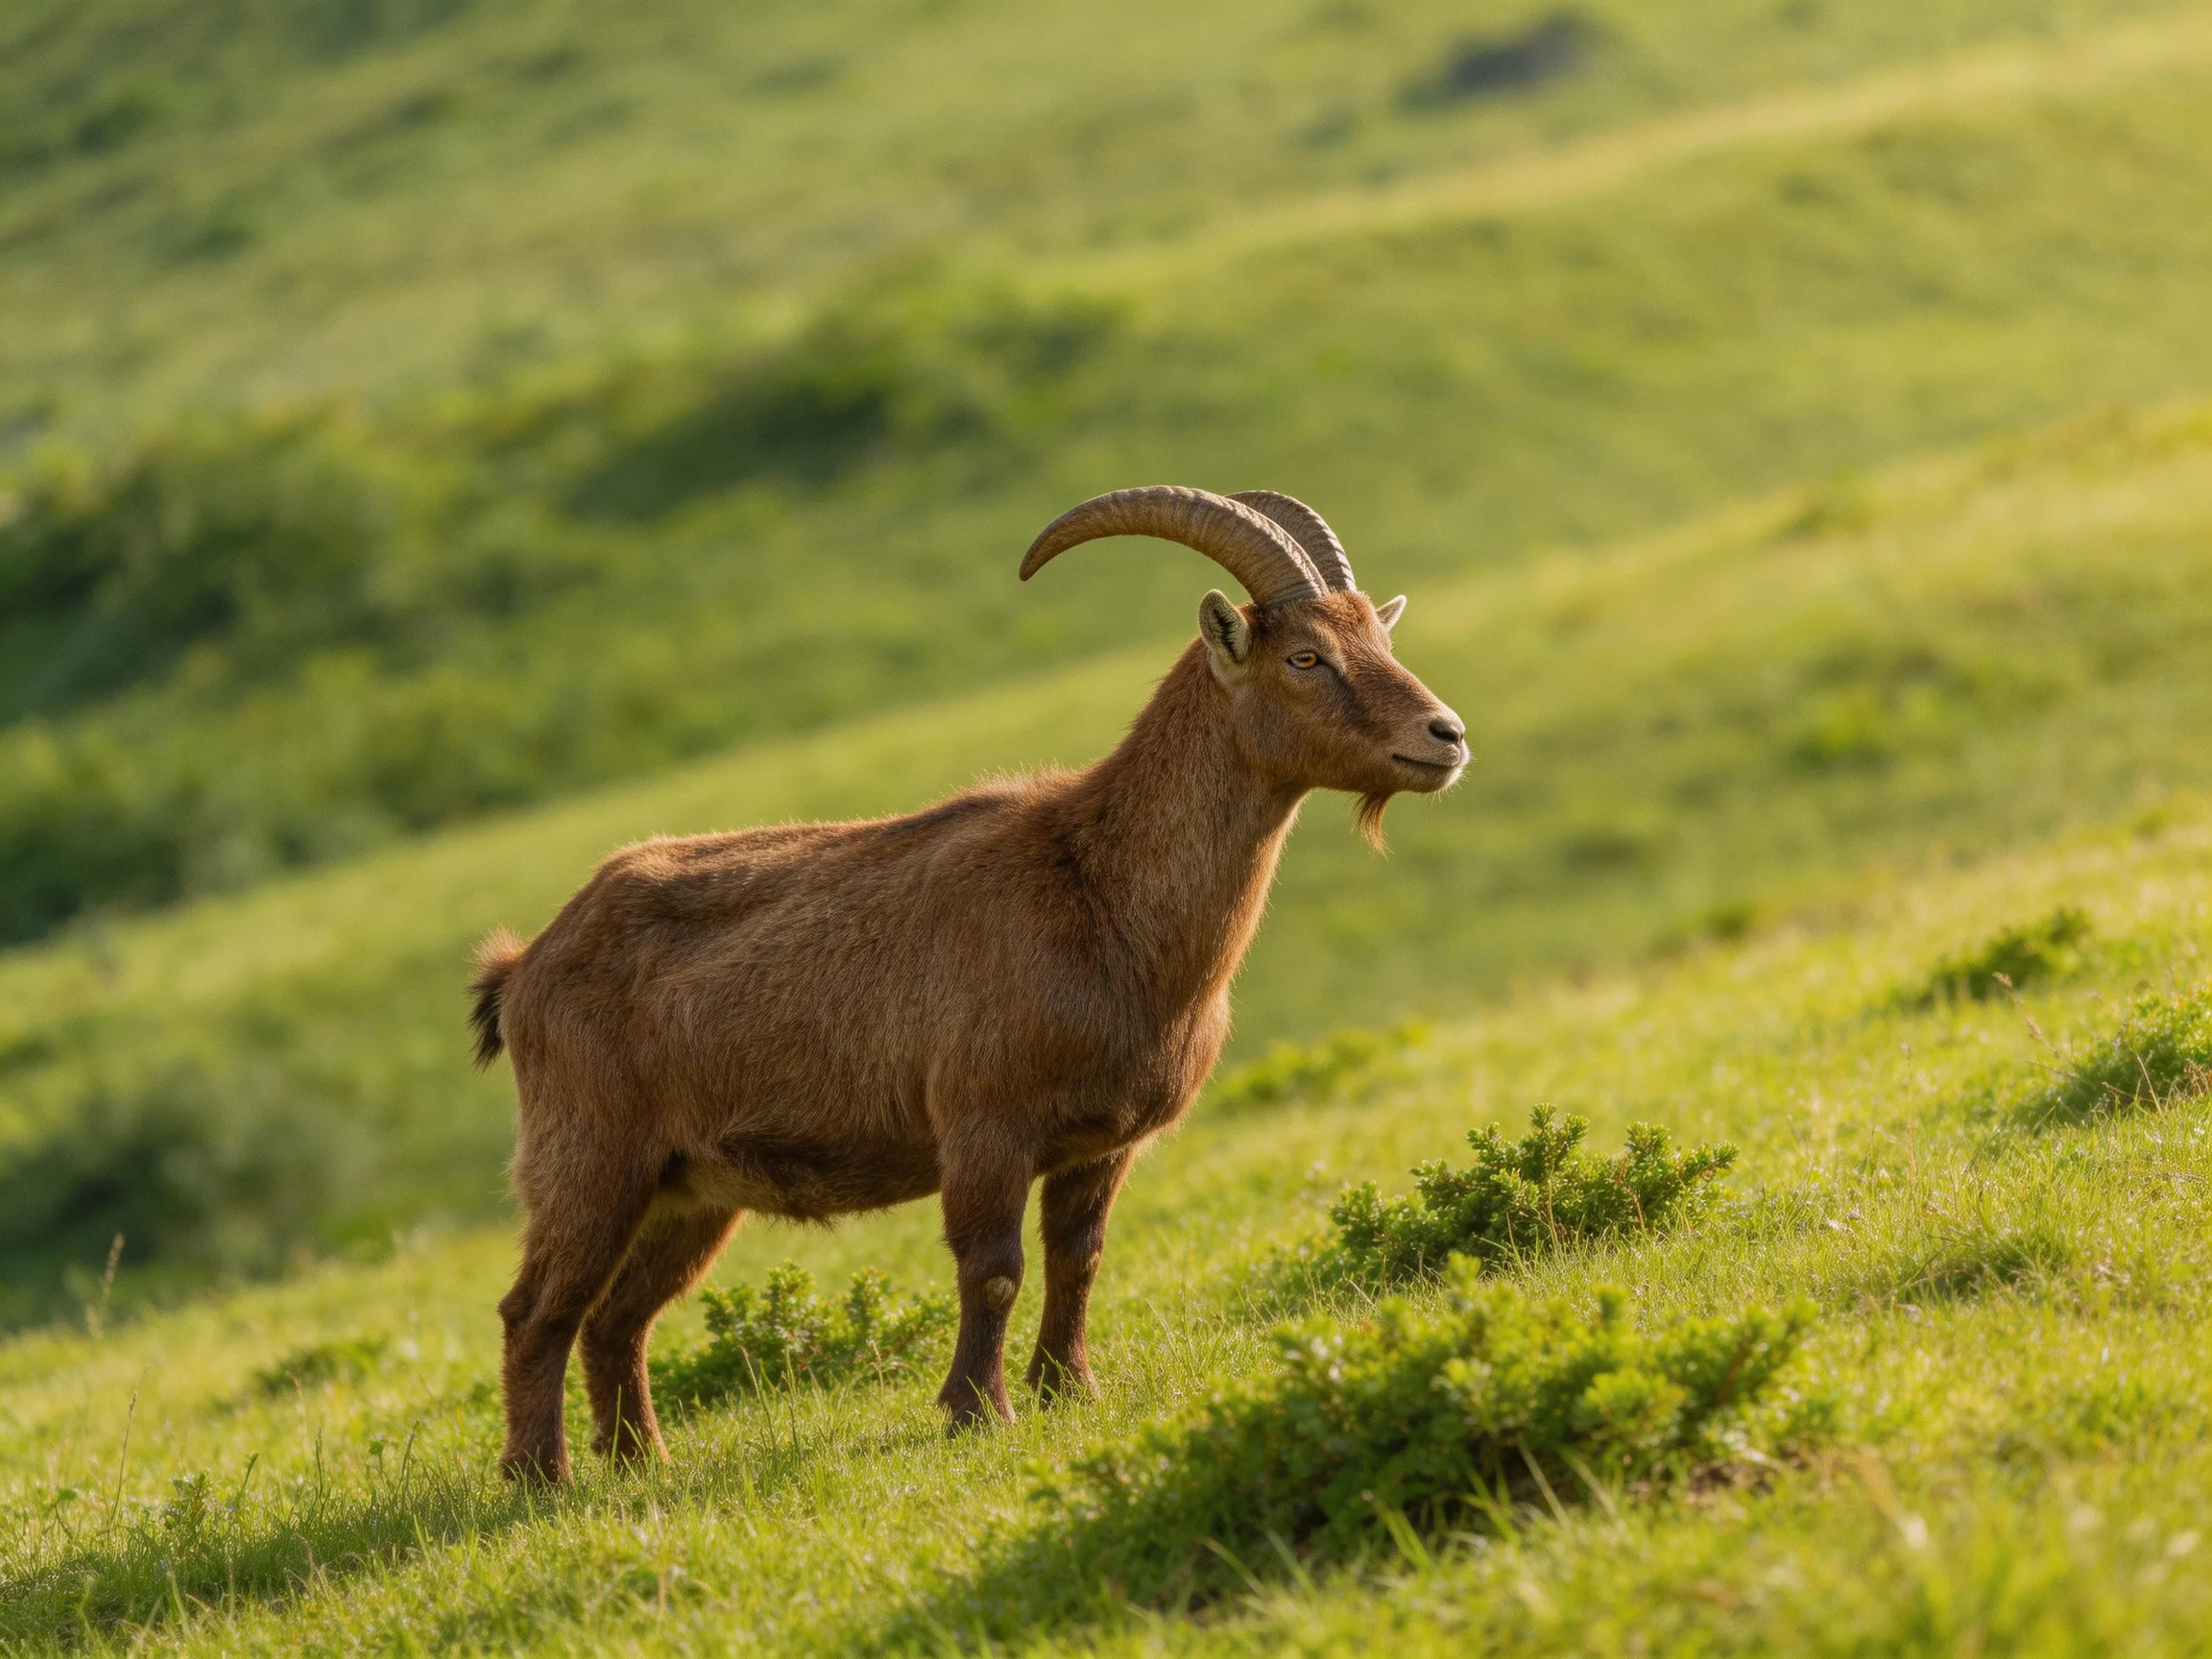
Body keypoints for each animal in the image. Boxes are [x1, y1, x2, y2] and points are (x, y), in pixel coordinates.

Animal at [470, 486, 1466, 1480]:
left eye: (1379, 638)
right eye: (1306, 656)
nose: (1446, 735)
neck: (1100, 891)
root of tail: (523, 970)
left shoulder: (1102, 1142)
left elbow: (1079, 1257)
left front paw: (1068, 1388)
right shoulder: (985, 1121)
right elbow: (993, 1267)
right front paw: (976, 1411)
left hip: (689, 1189)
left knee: (617, 1316)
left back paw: (641, 1462)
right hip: (593, 1159)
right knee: (537, 1309)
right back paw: (539, 1477)